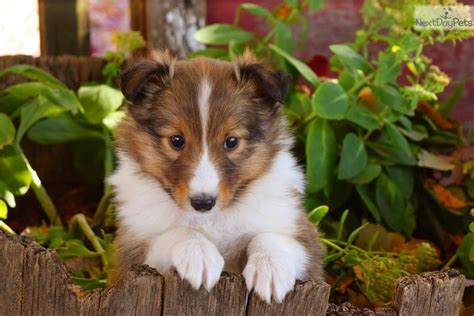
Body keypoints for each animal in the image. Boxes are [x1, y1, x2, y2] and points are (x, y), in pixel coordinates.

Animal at [110, 50, 326, 302]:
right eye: (176, 140)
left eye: (231, 141)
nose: (203, 203)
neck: (210, 220)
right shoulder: (132, 254)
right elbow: (181, 231)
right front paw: (200, 256)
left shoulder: (306, 241)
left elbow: (269, 237)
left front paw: (270, 269)